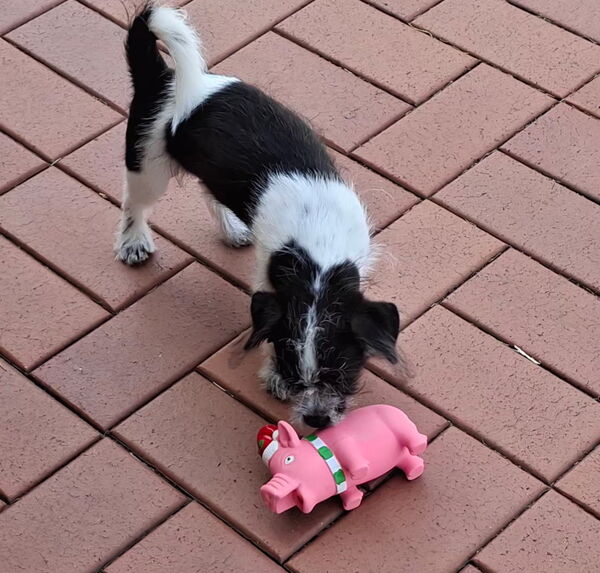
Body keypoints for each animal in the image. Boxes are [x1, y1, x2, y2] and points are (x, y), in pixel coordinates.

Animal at [117, 3, 400, 428]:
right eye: (292, 370)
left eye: (343, 373)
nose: (316, 420)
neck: (318, 255)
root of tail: (163, 76)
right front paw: (272, 376)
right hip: (147, 162)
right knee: (134, 203)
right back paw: (133, 243)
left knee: (210, 191)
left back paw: (232, 228)